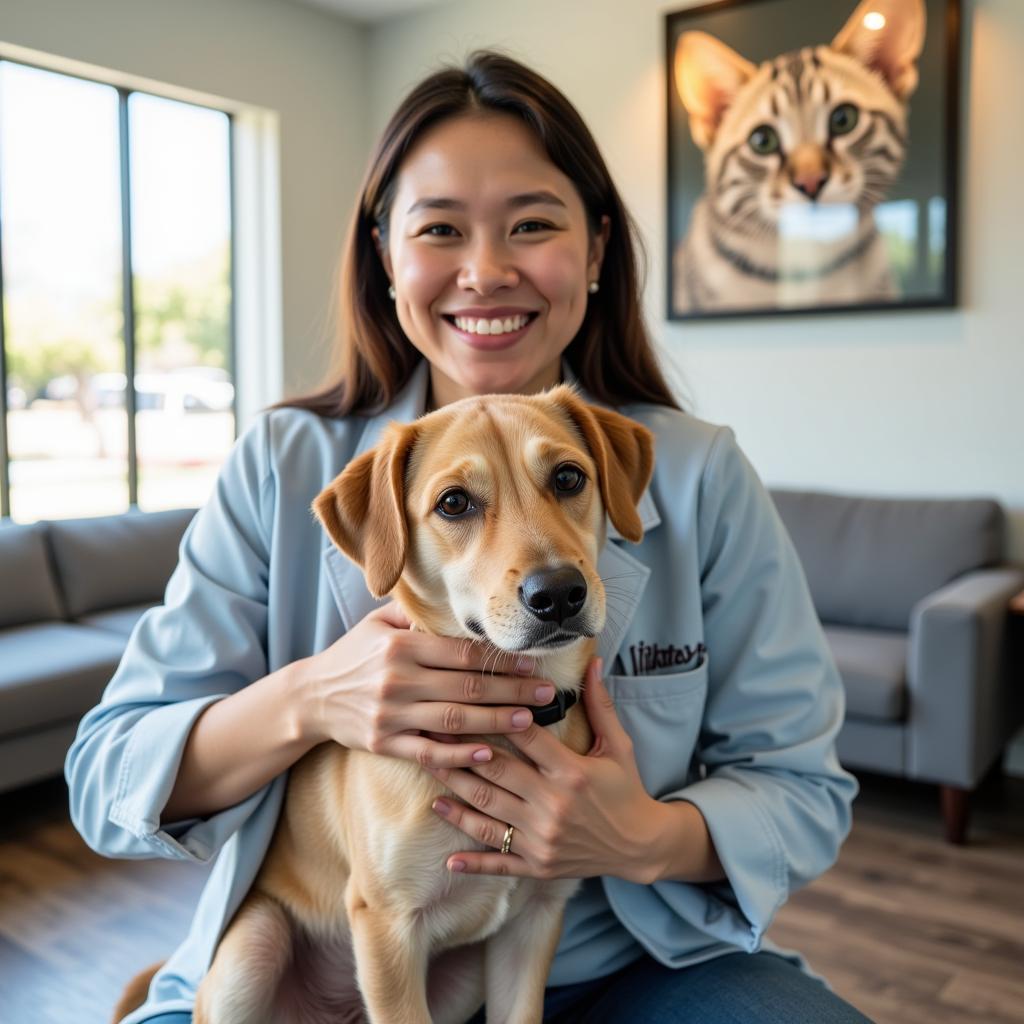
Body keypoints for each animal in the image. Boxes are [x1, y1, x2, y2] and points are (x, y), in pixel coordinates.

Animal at [114, 385, 655, 1024]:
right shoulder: (388, 926)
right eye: (454, 503)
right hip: (252, 949)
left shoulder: (533, 922)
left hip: (461, 979)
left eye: (569, 477)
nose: (558, 593)